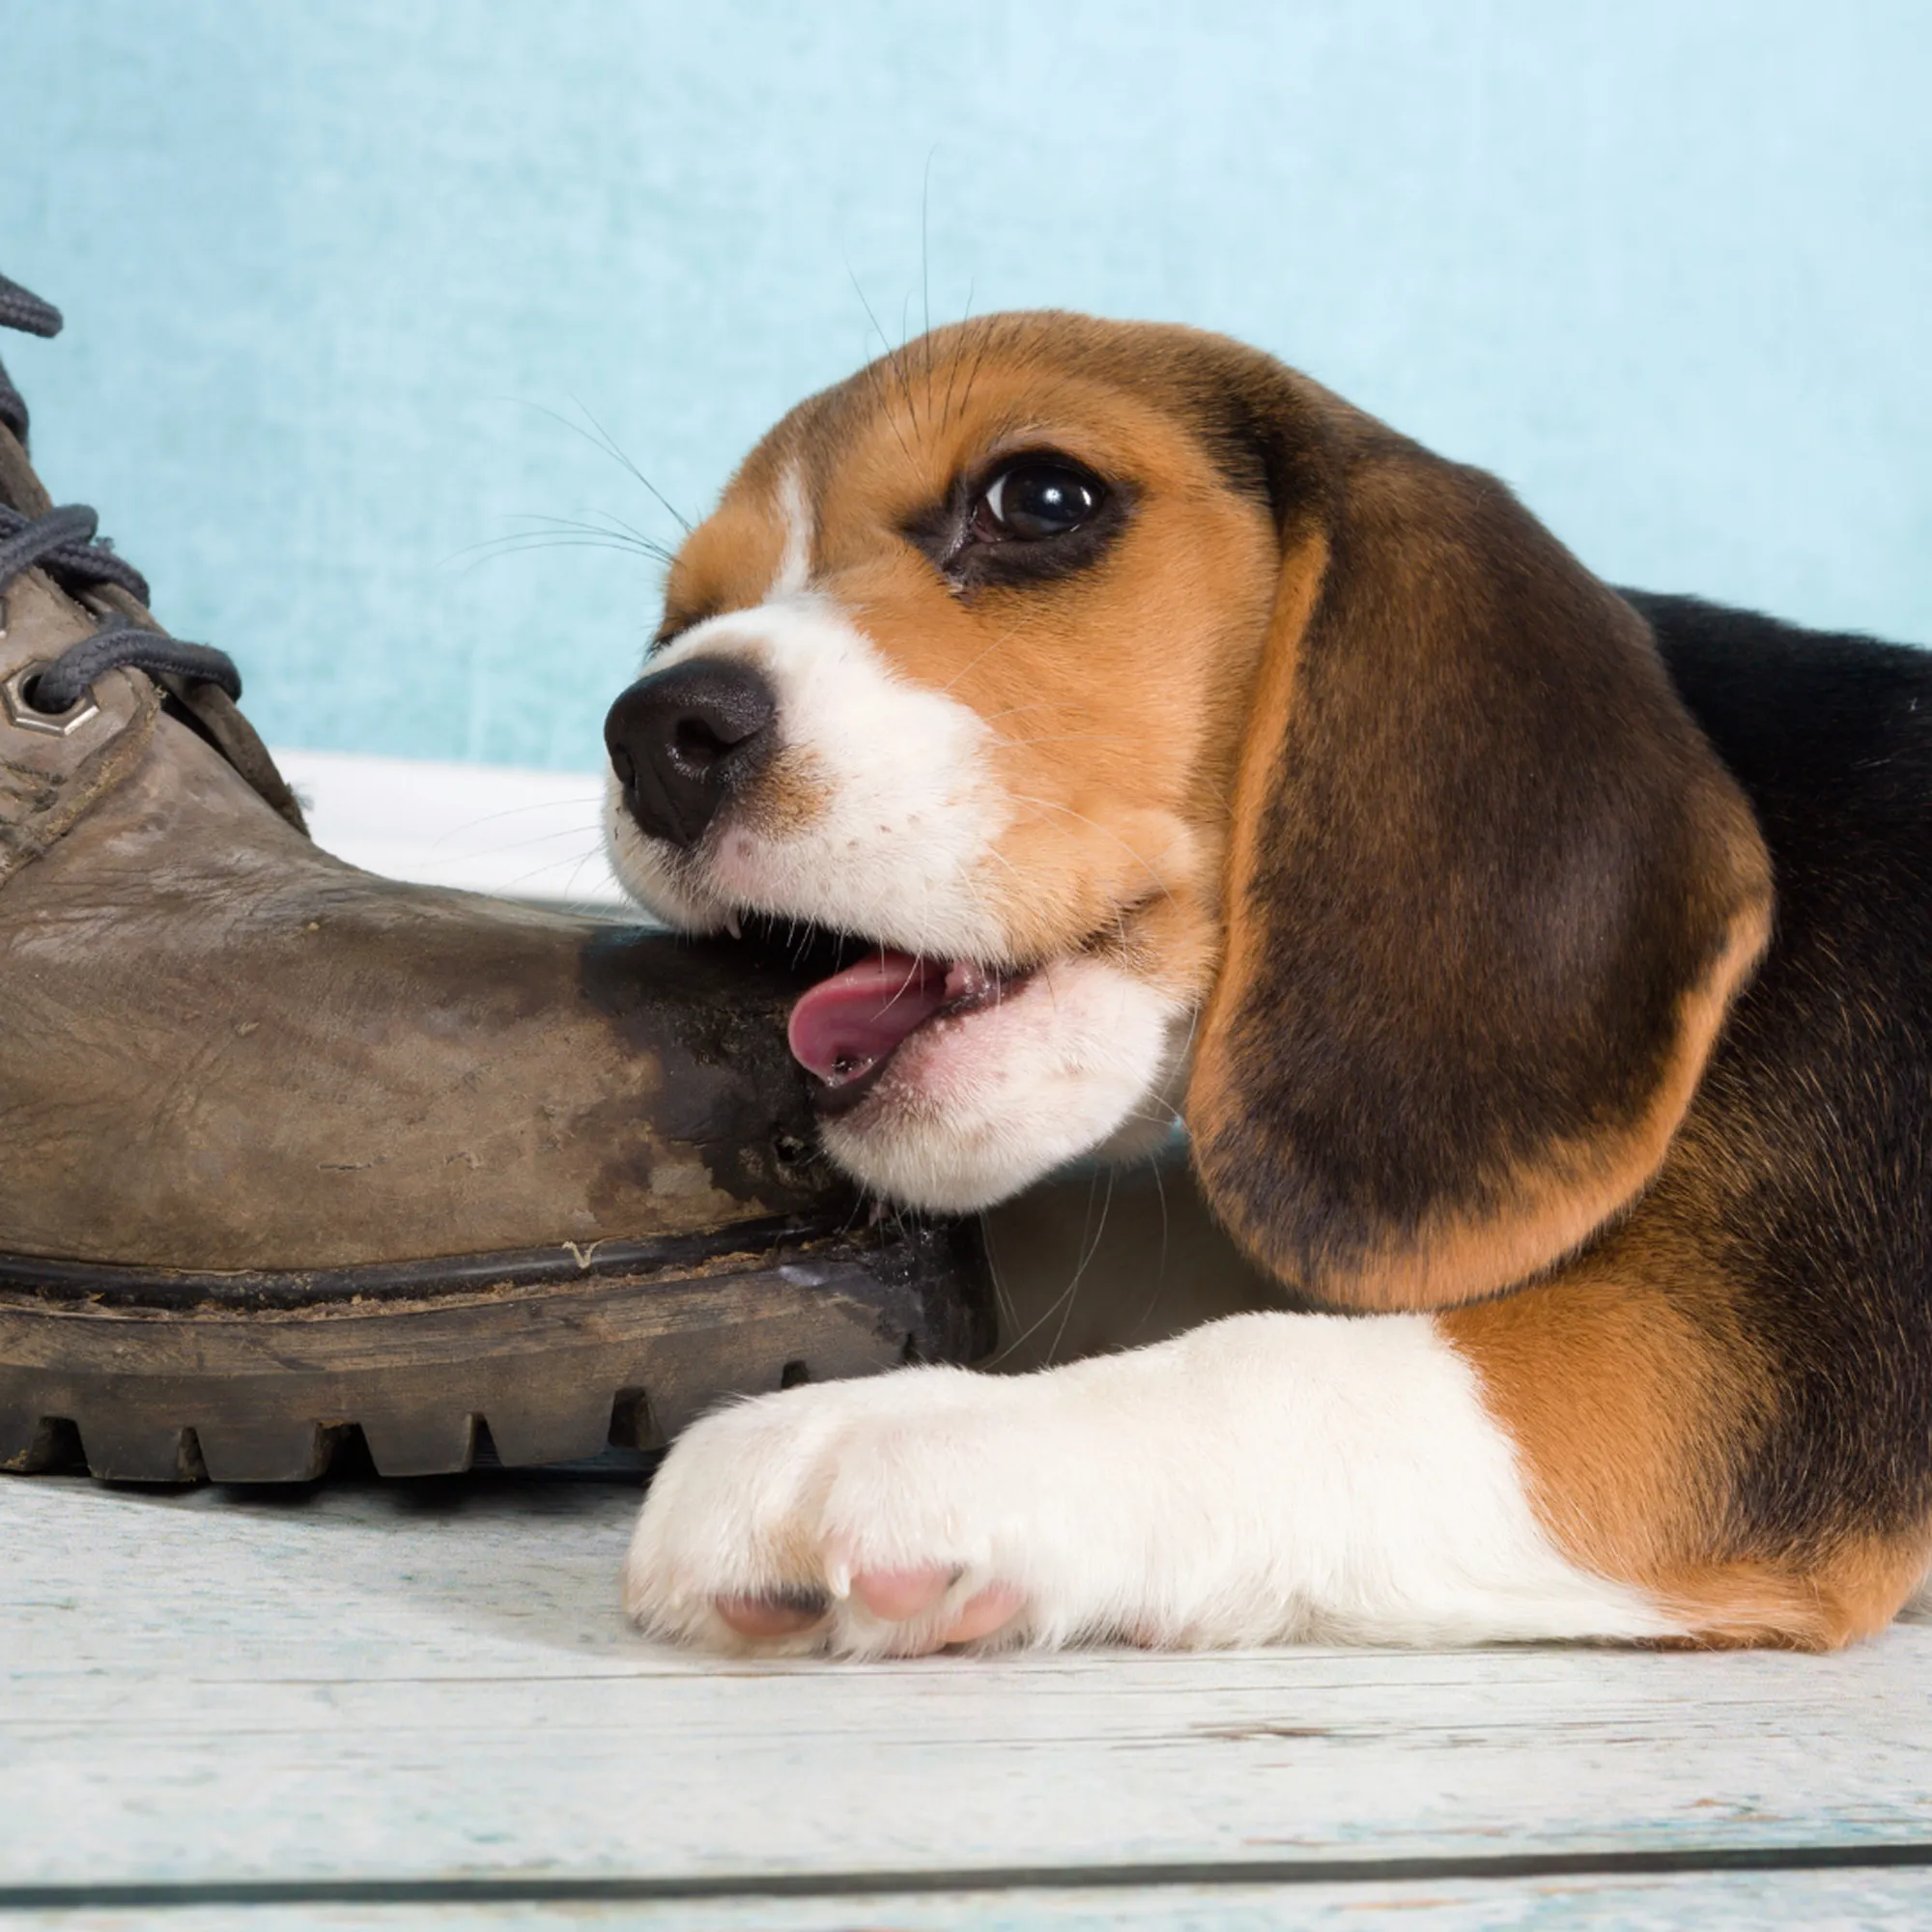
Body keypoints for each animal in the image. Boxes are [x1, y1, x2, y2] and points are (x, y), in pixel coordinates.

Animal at [603, 309, 1932, 1654]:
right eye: (676, 620)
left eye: (1040, 499)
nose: (654, 735)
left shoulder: (1732, 1369)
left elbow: (1277, 1366)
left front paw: (896, 1432)